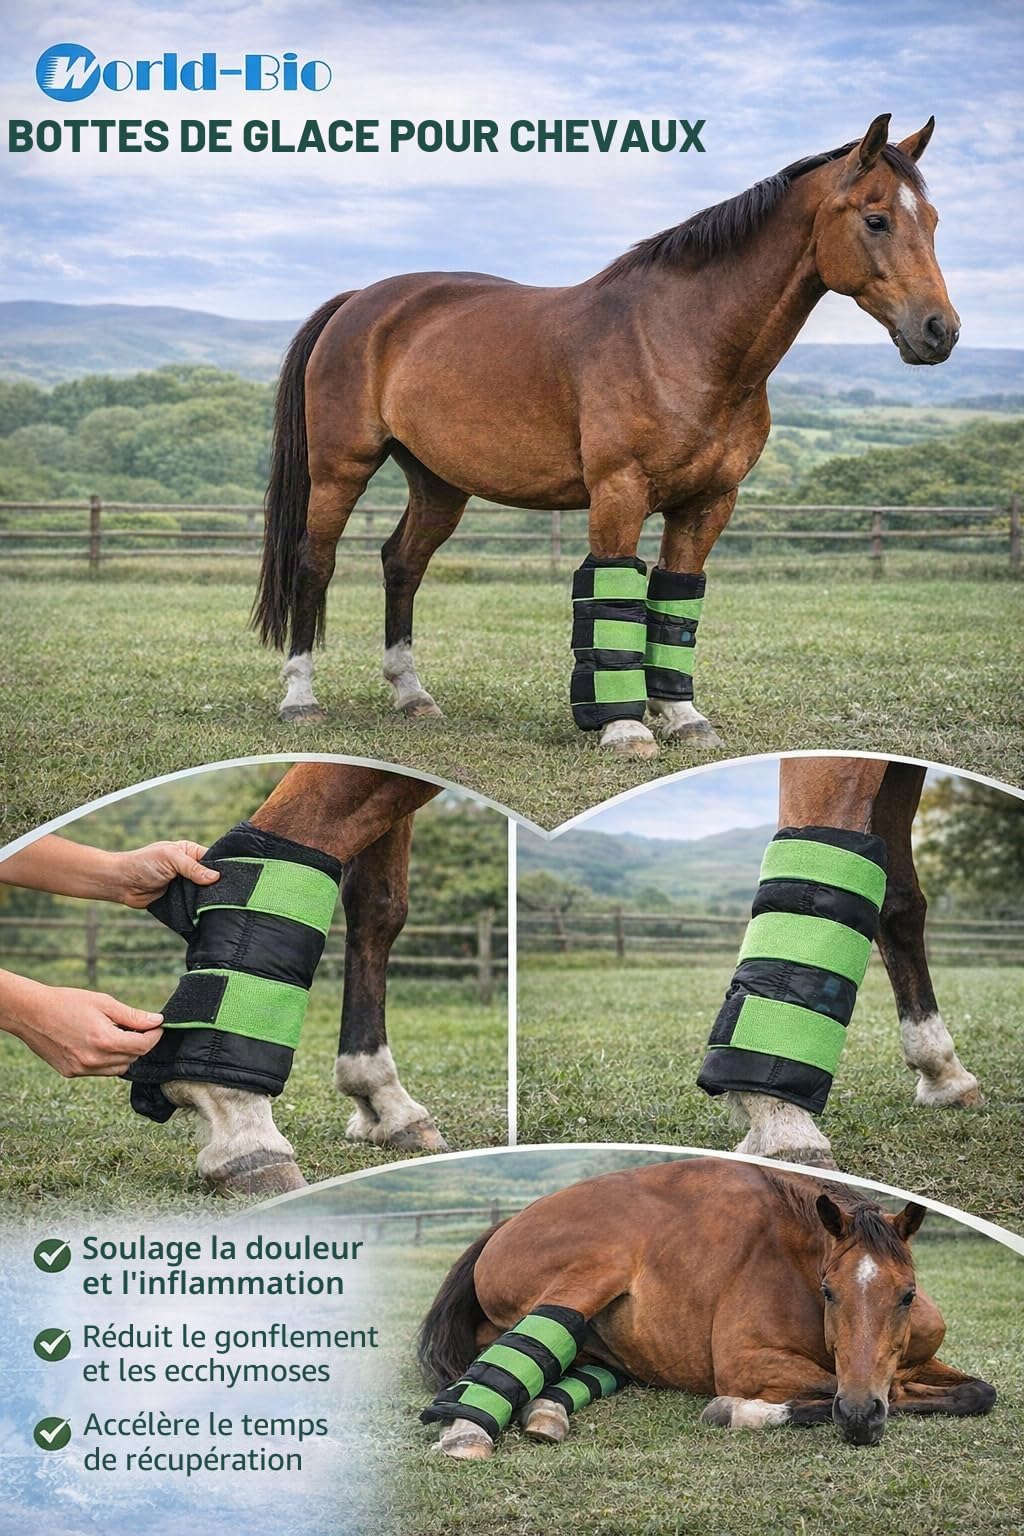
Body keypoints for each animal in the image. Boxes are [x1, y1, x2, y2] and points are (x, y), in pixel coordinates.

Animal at [252, 114, 958, 760]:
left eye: (933, 221)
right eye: (876, 220)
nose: (939, 331)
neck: (682, 338)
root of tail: (358, 302)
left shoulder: (708, 503)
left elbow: (674, 601)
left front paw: (683, 718)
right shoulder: (620, 491)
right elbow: (615, 595)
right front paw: (625, 728)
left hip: (439, 483)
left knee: (403, 563)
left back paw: (412, 694)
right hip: (341, 468)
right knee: (315, 562)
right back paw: (300, 698)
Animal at [418, 1158, 996, 1459]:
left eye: (907, 1294)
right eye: (829, 1290)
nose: (858, 1416)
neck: (799, 1258)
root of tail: (508, 1222)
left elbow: (977, 1392)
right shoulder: (748, 1364)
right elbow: (854, 1388)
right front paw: (739, 1411)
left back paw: (547, 1409)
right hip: (594, 1266)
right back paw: (467, 1427)